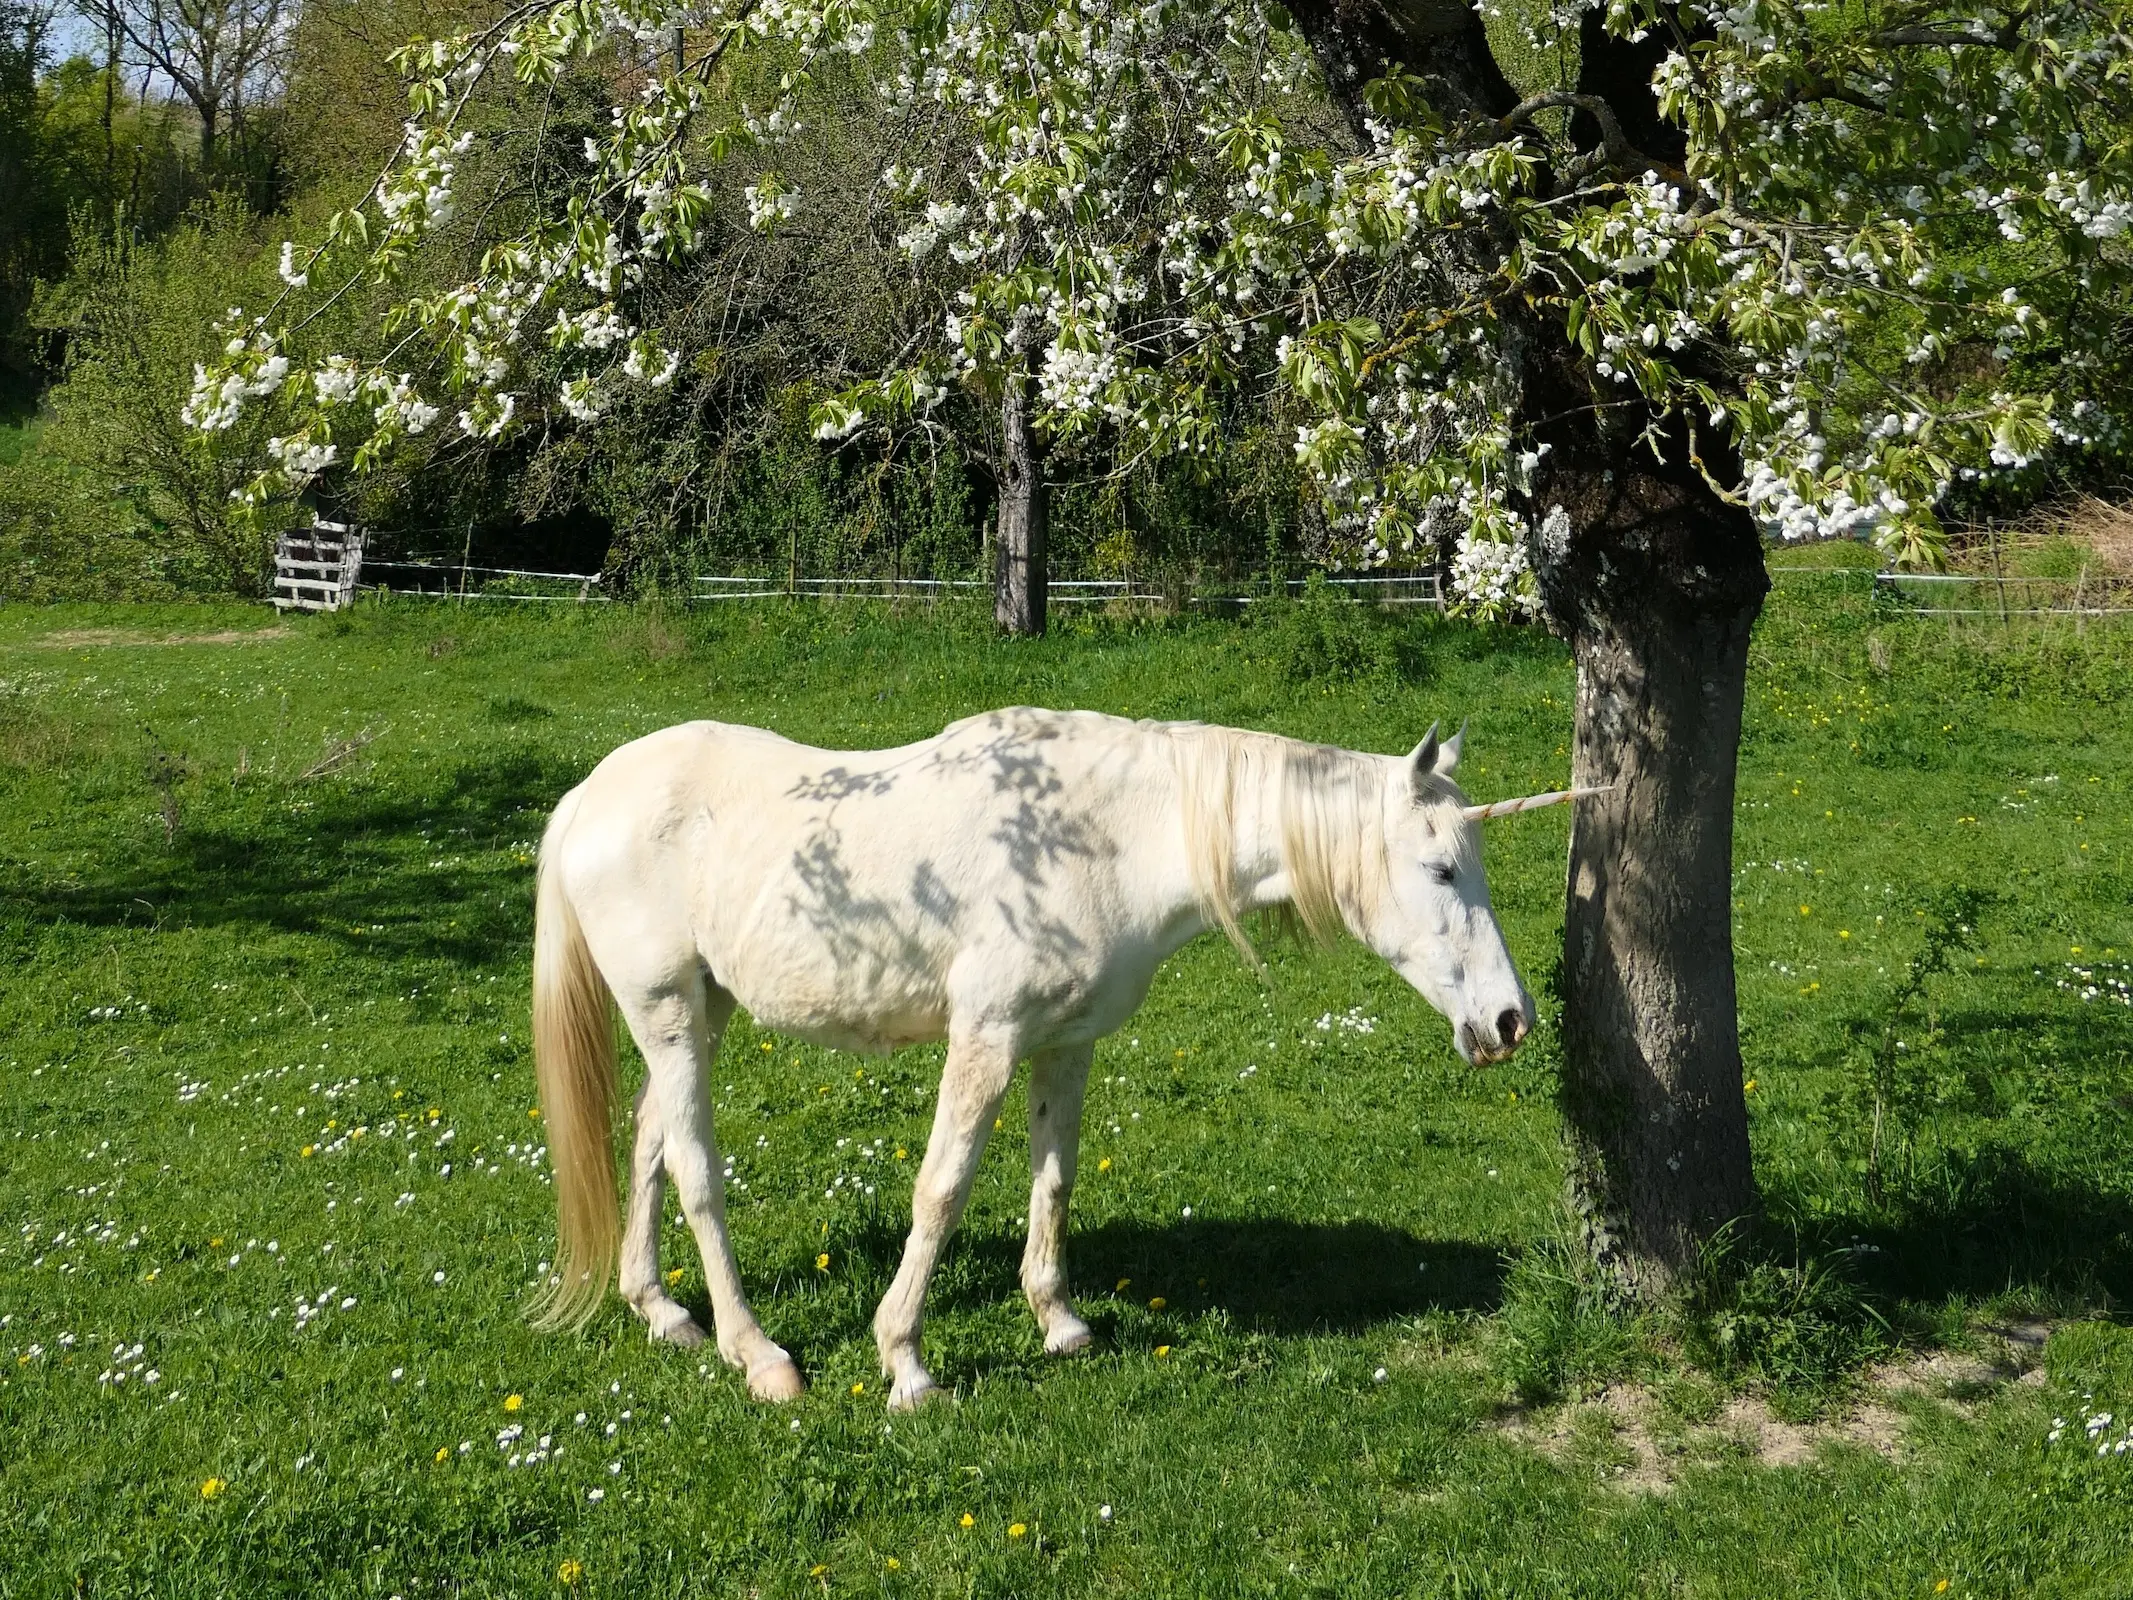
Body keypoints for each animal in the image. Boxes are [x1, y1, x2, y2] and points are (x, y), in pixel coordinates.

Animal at [524, 708, 1544, 1408]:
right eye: (1441, 870)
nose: (1509, 1021)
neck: (1104, 838)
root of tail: (589, 795)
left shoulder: (1066, 1045)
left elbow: (1053, 1179)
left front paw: (1058, 1324)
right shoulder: (986, 1037)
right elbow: (941, 1189)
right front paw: (905, 1363)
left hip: (704, 1010)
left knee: (651, 1140)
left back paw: (662, 1312)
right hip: (666, 1011)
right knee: (695, 1167)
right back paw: (758, 1354)